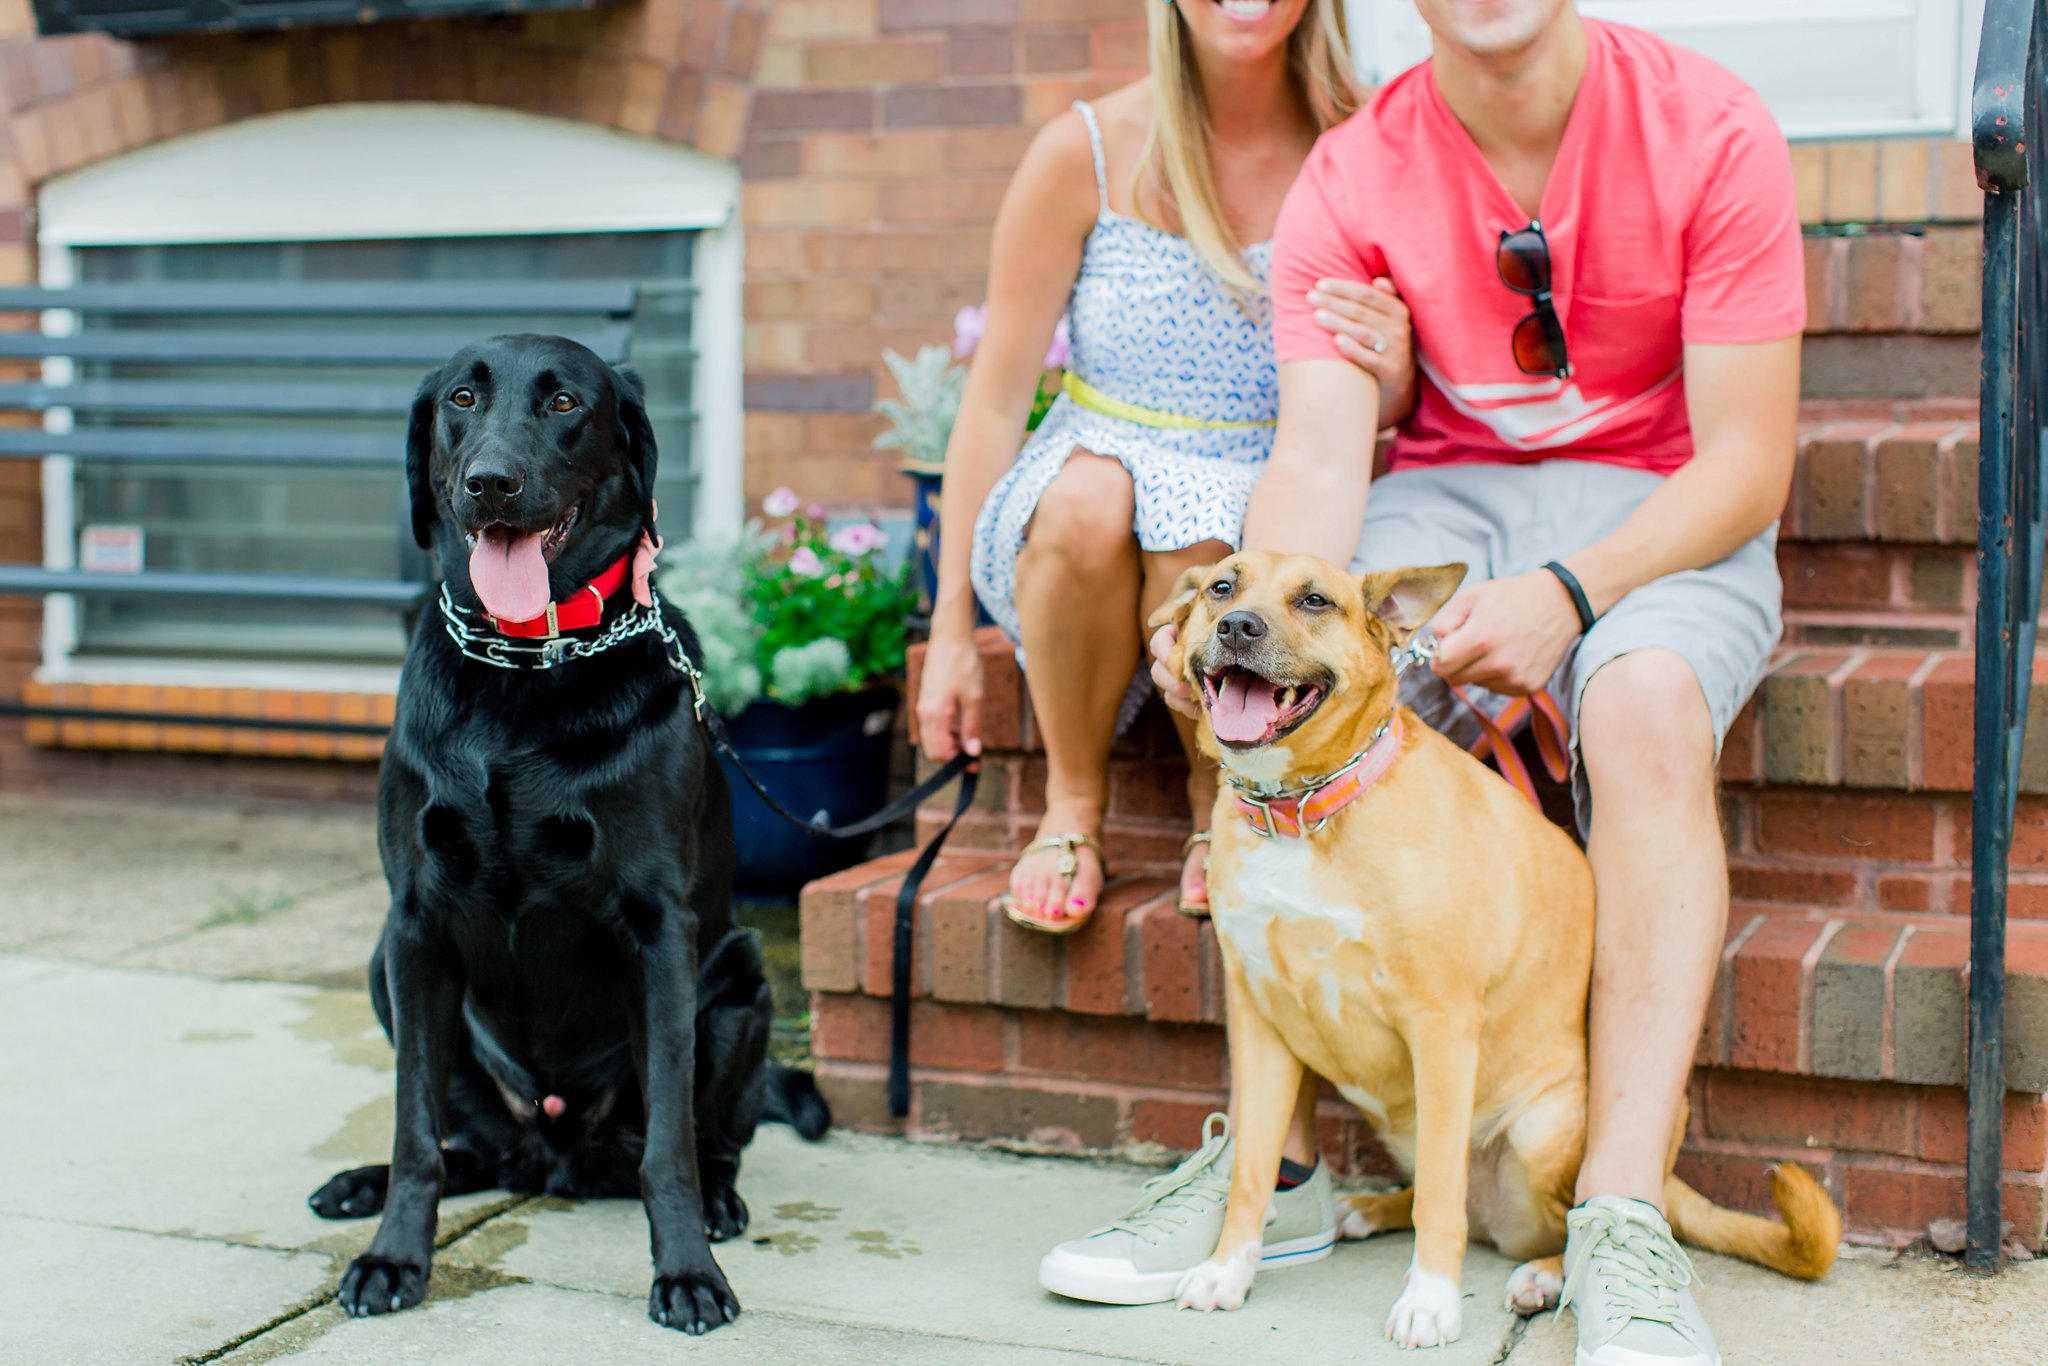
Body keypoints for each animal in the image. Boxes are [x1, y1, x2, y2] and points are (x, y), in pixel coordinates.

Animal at [311, 333, 823, 1335]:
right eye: (462, 399)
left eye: (563, 404)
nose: (490, 483)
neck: (523, 670)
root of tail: (553, 1159)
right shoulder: (413, 924)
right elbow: (413, 1131)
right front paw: (395, 1257)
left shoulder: (660, 930)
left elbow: (669, 1143)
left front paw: (688, 1273)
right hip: (386, 974)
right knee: (466, 1149)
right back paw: (363, 1184)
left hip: (742, 980)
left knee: (711, 1139)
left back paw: (719, 1202)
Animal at [1155, 552, 1843, 1343]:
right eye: (1222, 588)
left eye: (1316, 600)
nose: (1238, 626)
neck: (1304, 809)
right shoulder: (1262, 1022)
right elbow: (1252, 1167)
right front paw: (1228, 1268)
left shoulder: (1442, 1025)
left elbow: (1441, 1194)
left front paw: (1429, 1299)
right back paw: (1369, 1209)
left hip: (1544, 1129)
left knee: (1554, 1220)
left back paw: (1544, 1278)